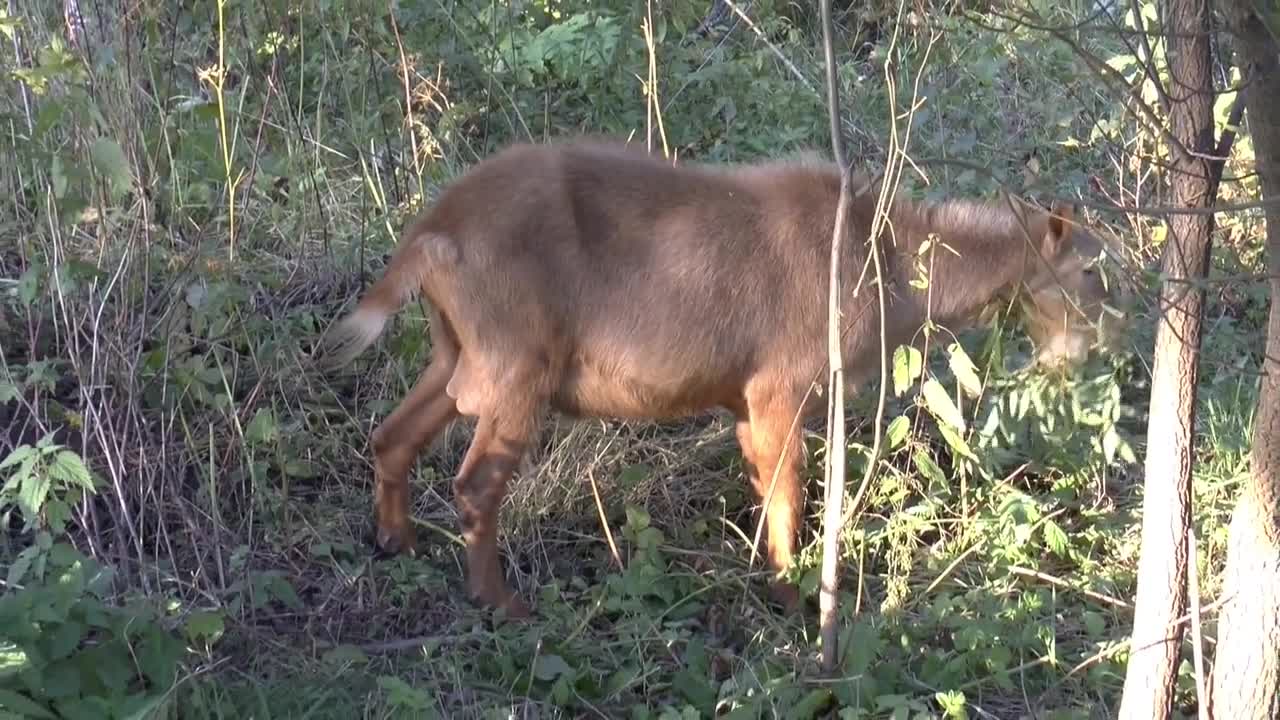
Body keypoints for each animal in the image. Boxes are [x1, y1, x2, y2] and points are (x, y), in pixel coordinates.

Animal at [322, 139, 1131, 617]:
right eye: (1094, 270)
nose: (1105, 346)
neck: (889, 262)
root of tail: (432, 233)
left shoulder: (745, 400)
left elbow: (765, 491)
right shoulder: (783, 389)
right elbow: (791, 495)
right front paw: (796, 603)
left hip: (453, 354)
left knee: (391, 437)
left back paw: (395, 542)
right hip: (517, 370)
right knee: (473, 485)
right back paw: (503, 604)